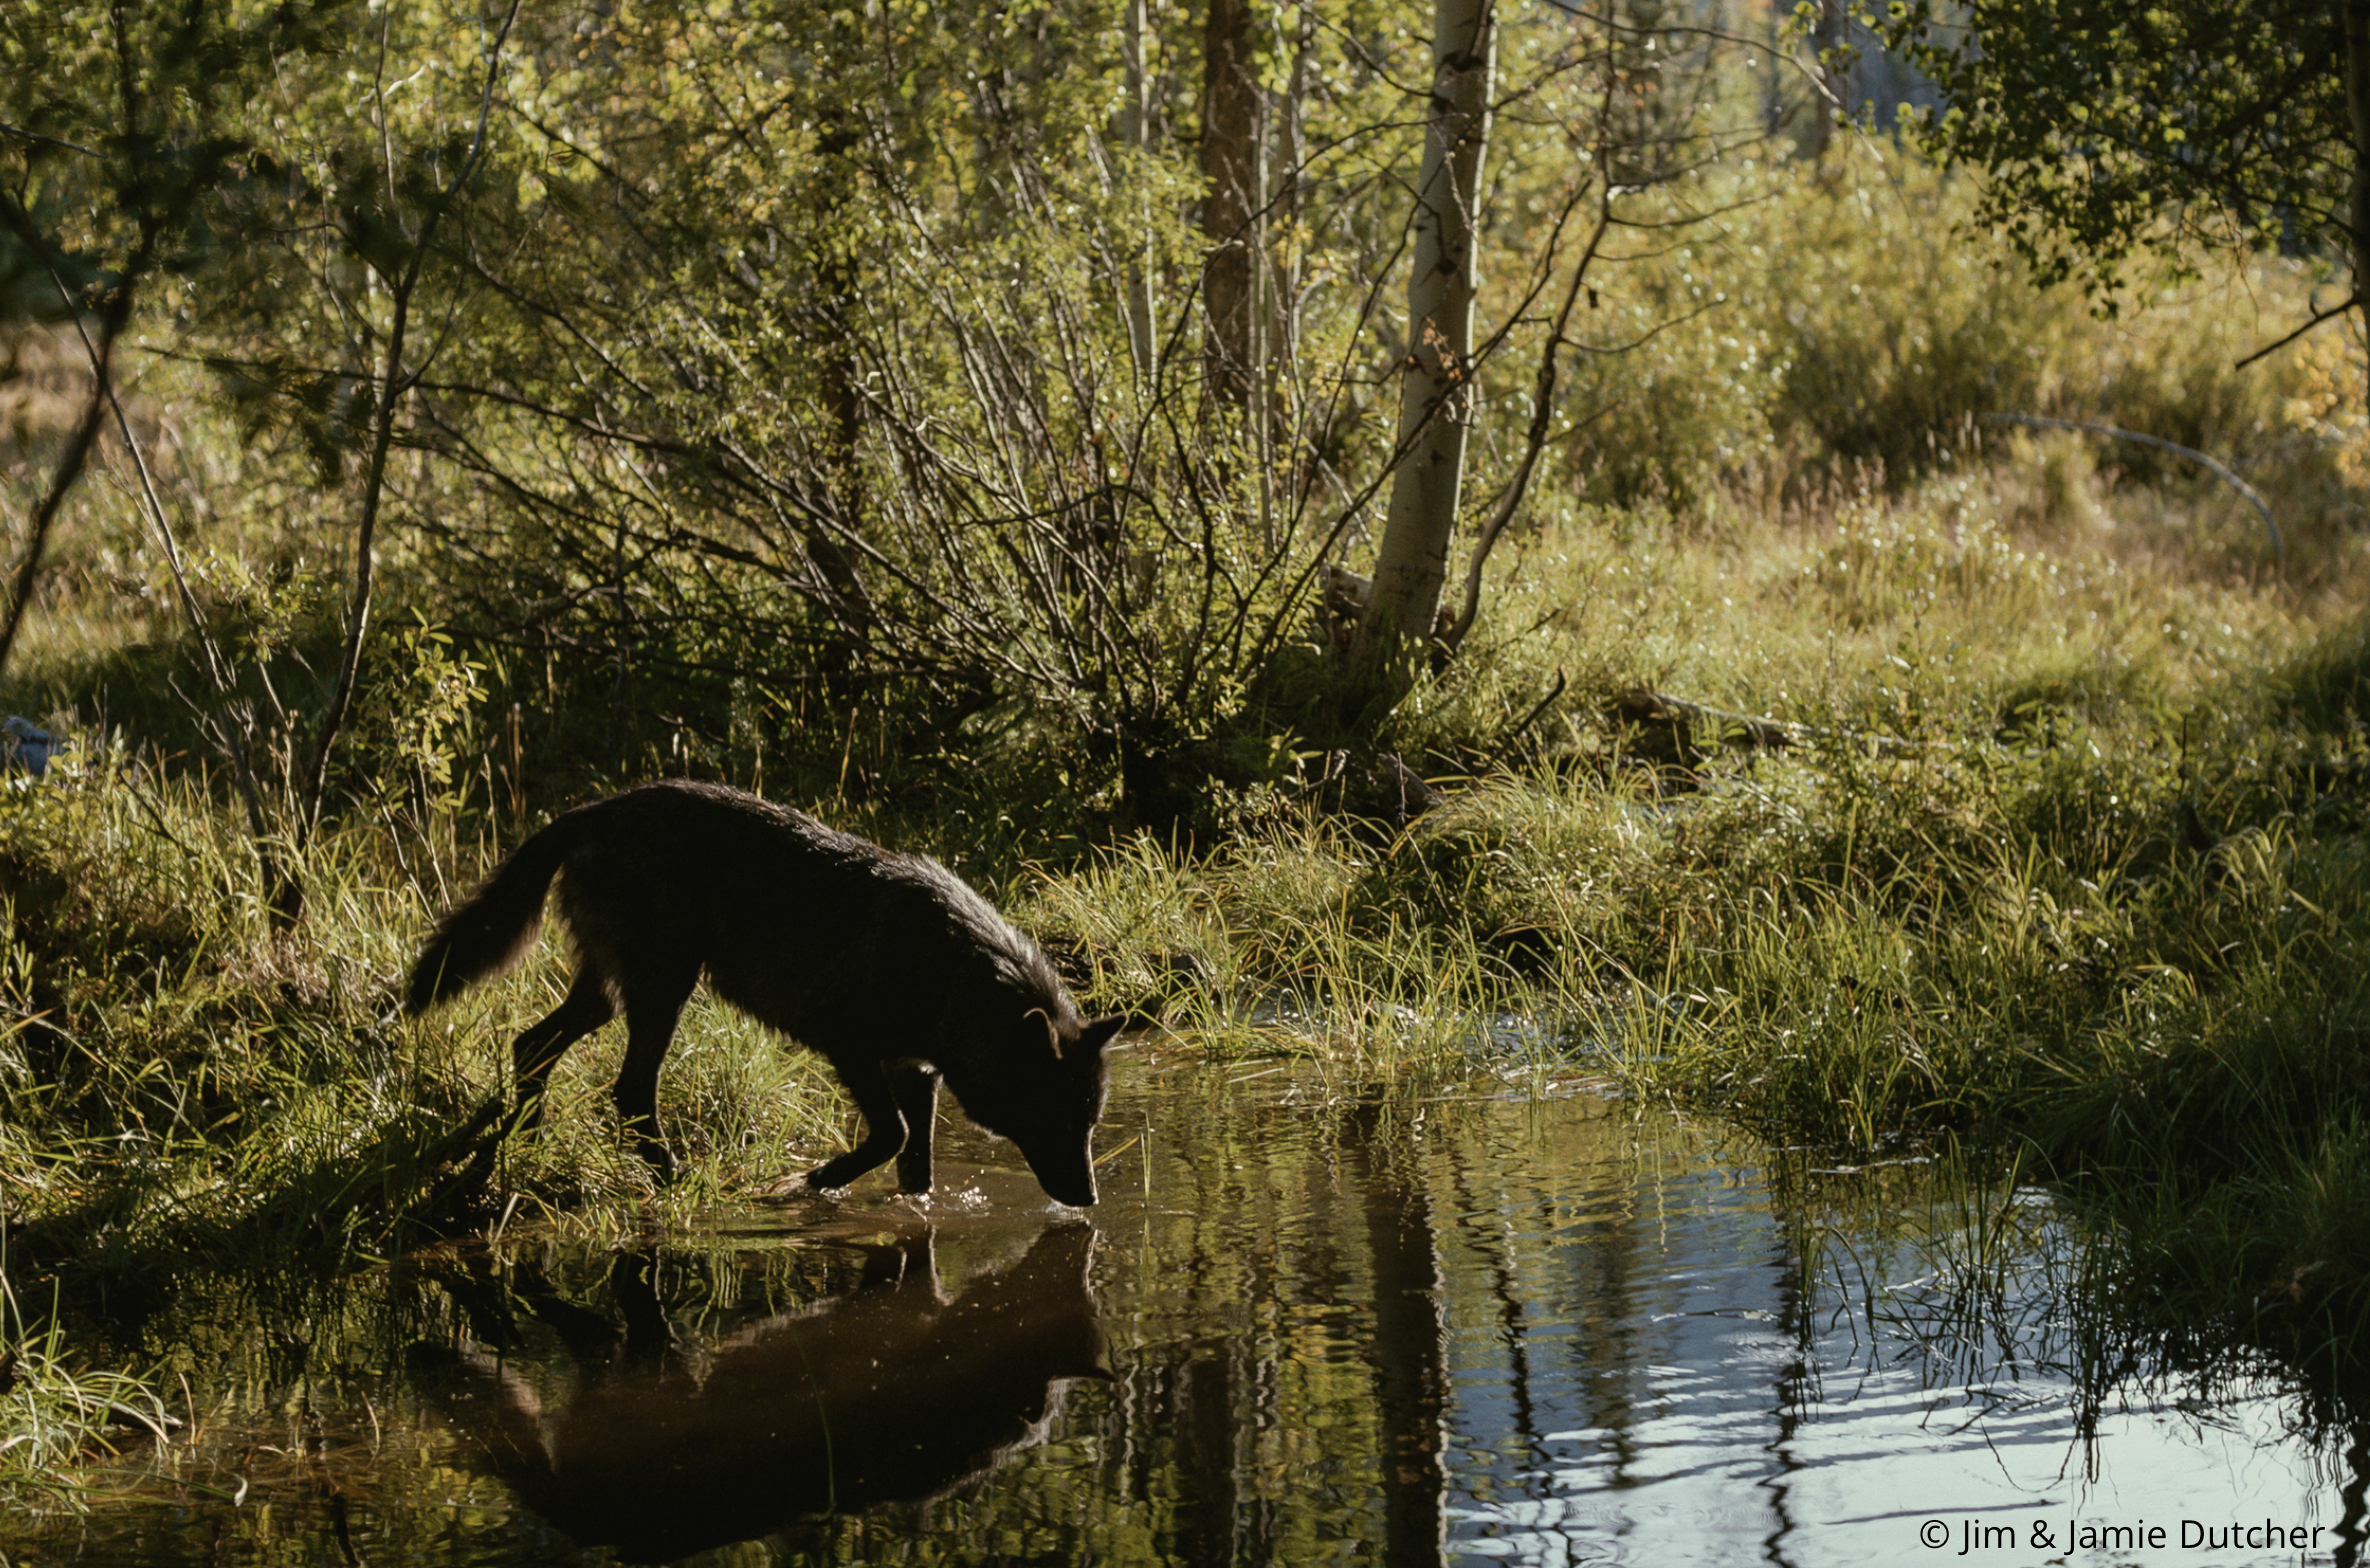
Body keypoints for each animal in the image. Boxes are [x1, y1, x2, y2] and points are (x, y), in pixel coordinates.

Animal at [405, 780, 1124, 1206]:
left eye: (1090, 1125)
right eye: (1062, 1122)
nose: (1091, 1200)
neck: (947, 973)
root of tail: (590, 811)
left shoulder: (915, 1069)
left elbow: (915, 1169)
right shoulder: (847, 1044)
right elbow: (890, 1136)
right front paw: (811, 1181)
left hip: (611, 995)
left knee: (531, 1044)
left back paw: (525, 1141)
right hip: (664, 990)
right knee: (629, 1091)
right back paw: (678, 1180)